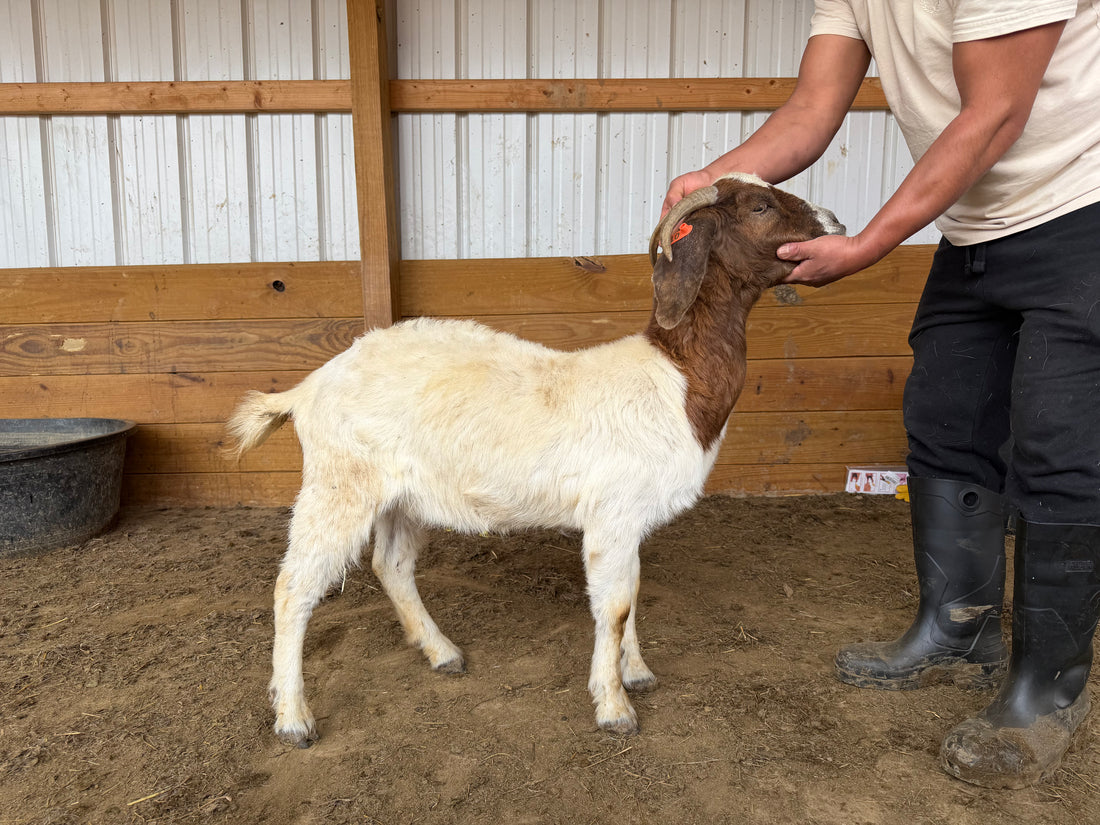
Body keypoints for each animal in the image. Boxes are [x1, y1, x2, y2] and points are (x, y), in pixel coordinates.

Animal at [226, 173, 844, 746]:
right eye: (760, 207)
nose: (835, 223)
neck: (675, 380)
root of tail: (308, 388)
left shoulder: (628, 520)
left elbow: (632, 594)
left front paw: (637, 672)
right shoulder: (612, 515)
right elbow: (614, 607)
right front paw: (614, 707)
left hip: (403, 496)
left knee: (392, 566)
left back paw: (442, 652)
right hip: (339, 484)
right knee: (294, 587)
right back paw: (293, 718)